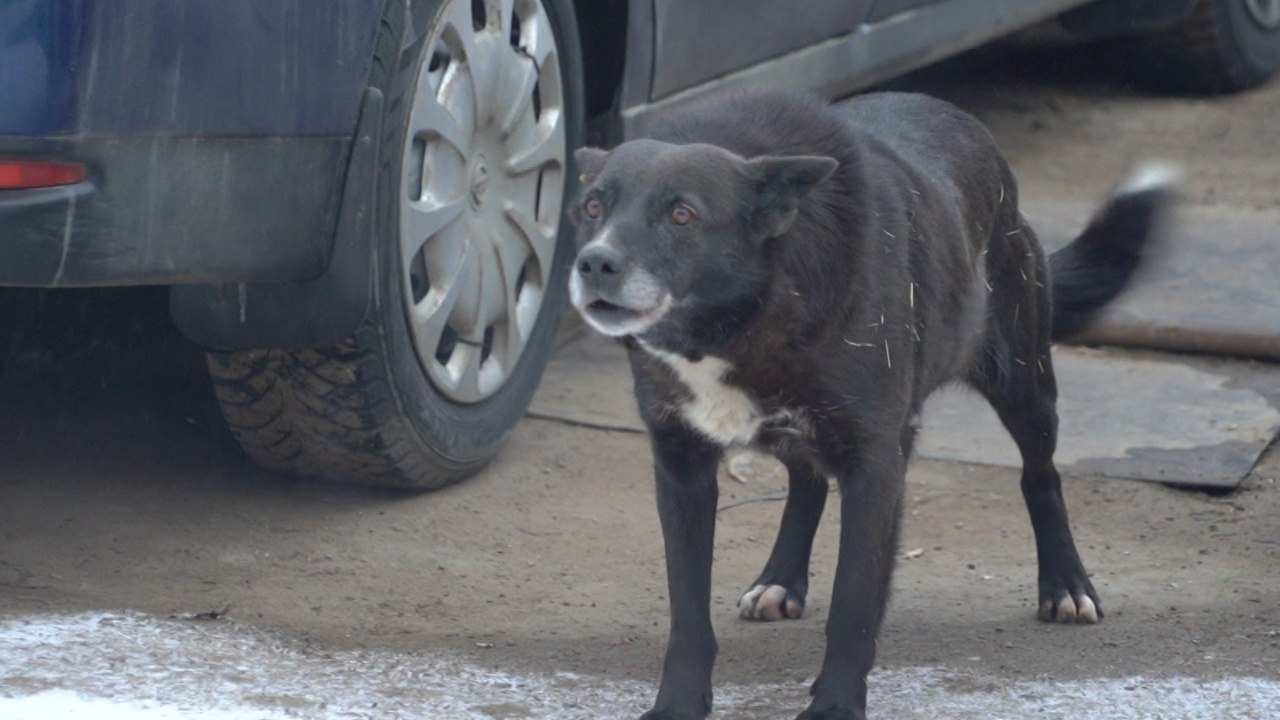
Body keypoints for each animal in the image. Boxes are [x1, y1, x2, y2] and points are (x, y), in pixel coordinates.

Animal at [568, 90, 1172, 717]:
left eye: (682, 214)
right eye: (592, 206)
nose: (595, 263)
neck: (739, 320)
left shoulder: (876, 466)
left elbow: (853, 606)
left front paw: (834, 705)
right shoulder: (681, 466)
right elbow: (688, 612)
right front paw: (679, 703)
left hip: (1024, 384)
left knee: (1041, 475)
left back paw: (1066, 586)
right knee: (807, 482)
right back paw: (781, 579)